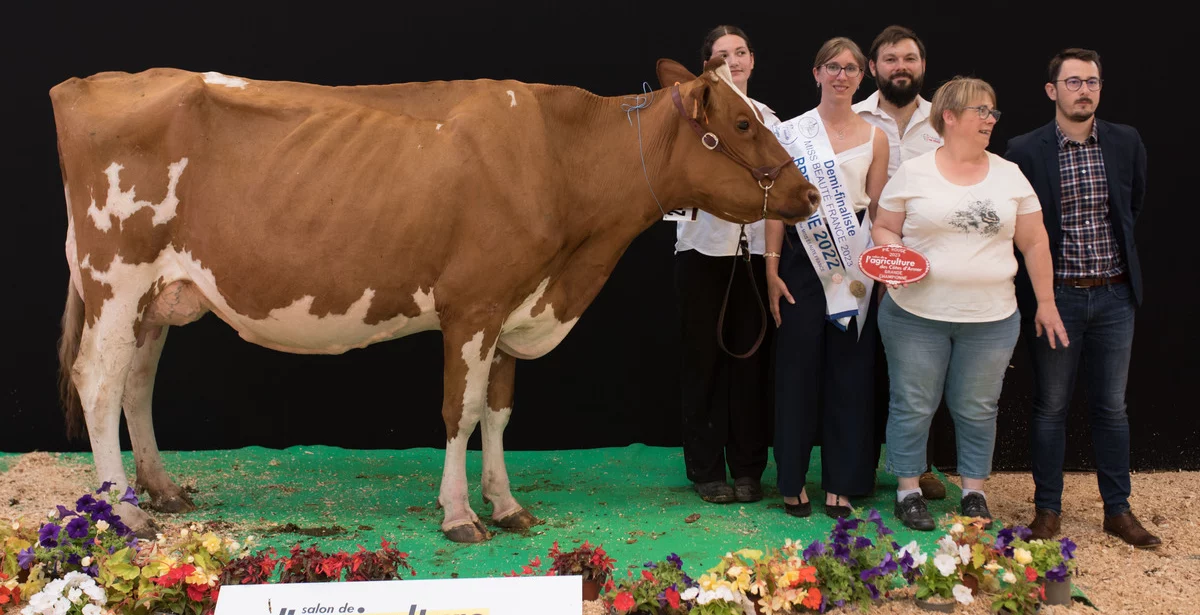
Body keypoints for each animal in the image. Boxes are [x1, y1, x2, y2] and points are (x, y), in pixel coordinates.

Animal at [51, 55, 820, 540]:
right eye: (744, 124)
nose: (810, 193)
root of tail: (93, 82)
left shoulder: (514, 302)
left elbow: (500, 412)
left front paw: (507, 505)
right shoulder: (473, 305)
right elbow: (461, 409)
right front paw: (459, 515)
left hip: (158, 294)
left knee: (136, 383)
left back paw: (161, 492)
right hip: (116, 274)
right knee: (98, 381)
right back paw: (126, 513)